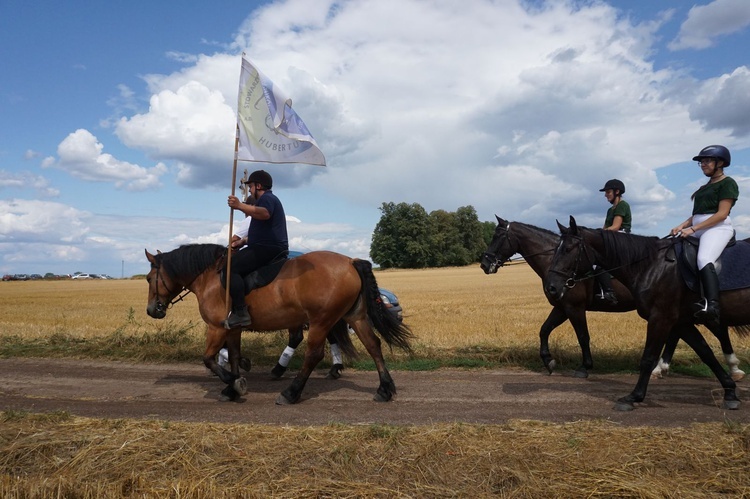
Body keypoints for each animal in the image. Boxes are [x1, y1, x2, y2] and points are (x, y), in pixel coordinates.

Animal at [144, 244, 414, 404]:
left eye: (148, 278)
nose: (151, 310)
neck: (210, 277)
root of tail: (350, 261)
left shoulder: (217, 327)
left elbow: (209, 359)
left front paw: (234, 383)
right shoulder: (232, 328)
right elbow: (233, 356)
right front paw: (232, 386)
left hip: (321, 320)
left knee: (313, 354)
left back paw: (291, 392)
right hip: (353, 316)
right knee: (373, 345)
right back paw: (385, 389)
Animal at [484, 215, 744, 378]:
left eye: (497, 236)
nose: (485, 264)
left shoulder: (574, 307)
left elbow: (583, 337)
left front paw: (585, 367)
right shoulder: (561, 306)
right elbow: (544, 330)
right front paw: (549, 361)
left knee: (712, 327)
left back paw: (731, 368)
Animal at [544, 217, 748, 412]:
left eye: (568, 249)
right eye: (555, 250)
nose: (551, 288)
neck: (650, 265)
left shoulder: (660, 317)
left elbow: (647, 358)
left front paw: (633, 397)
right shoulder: (681, 321)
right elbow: (705, 353)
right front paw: (730, 392)